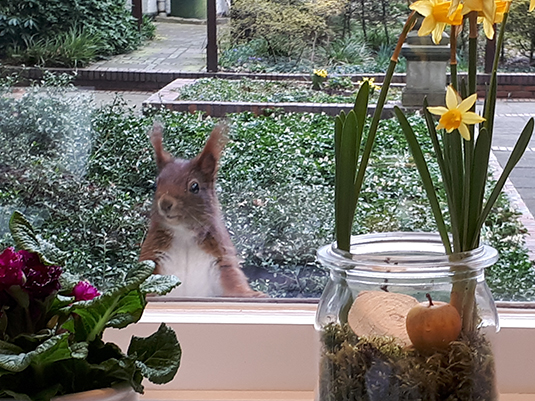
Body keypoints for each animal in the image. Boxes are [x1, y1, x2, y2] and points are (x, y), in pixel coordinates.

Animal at [140, 122, 266, 296]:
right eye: (155, 185)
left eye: (195, 186)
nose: (165, 204)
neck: (184, 234)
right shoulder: (152, 257)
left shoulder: (221, 259)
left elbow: (233, 280)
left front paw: (252, 295)